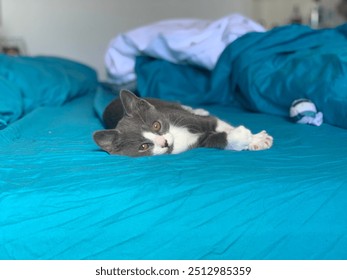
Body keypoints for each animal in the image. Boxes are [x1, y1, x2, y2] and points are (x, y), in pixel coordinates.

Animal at [94, 89, 274, 156]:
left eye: (156, 125)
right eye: (144, 146)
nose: (164, 142)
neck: (176, 135)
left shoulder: (179, 116)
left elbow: (215, 122)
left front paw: (256, 139)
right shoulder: (198, 142)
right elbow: (215, 139)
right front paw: (242, 137)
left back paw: (198, 109)